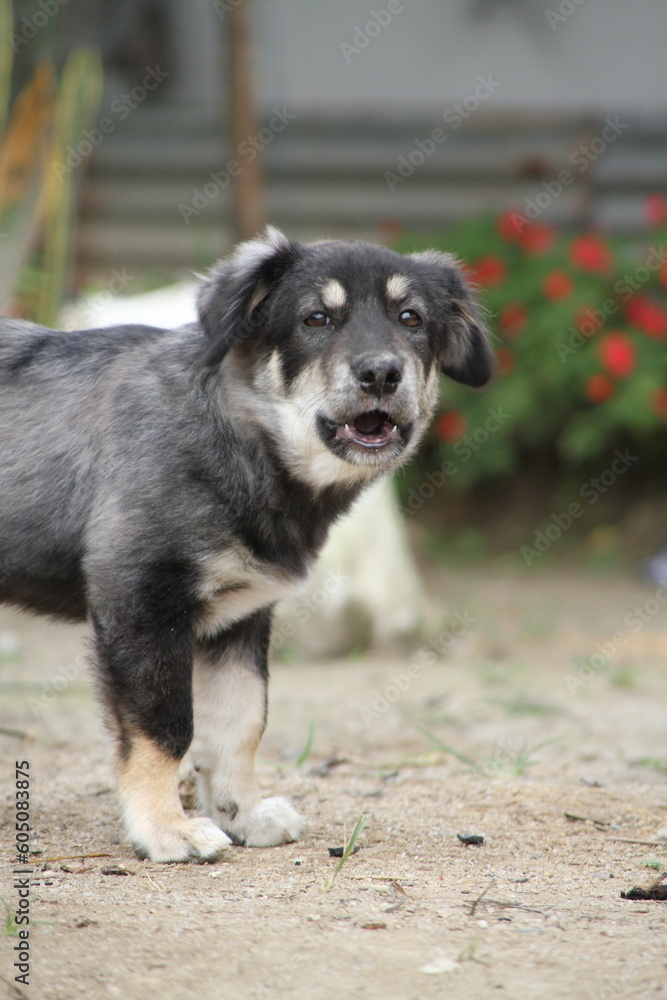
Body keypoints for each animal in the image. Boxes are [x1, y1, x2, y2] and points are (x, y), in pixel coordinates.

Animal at [0, 227, 490, 860]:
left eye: (411, 318)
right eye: (315, 319)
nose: (382, 374)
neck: (243, 439)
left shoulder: (241, 616)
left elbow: (240, 721)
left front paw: (241, 813)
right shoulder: (141, 600)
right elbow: (166, 725)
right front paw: (165, 827)